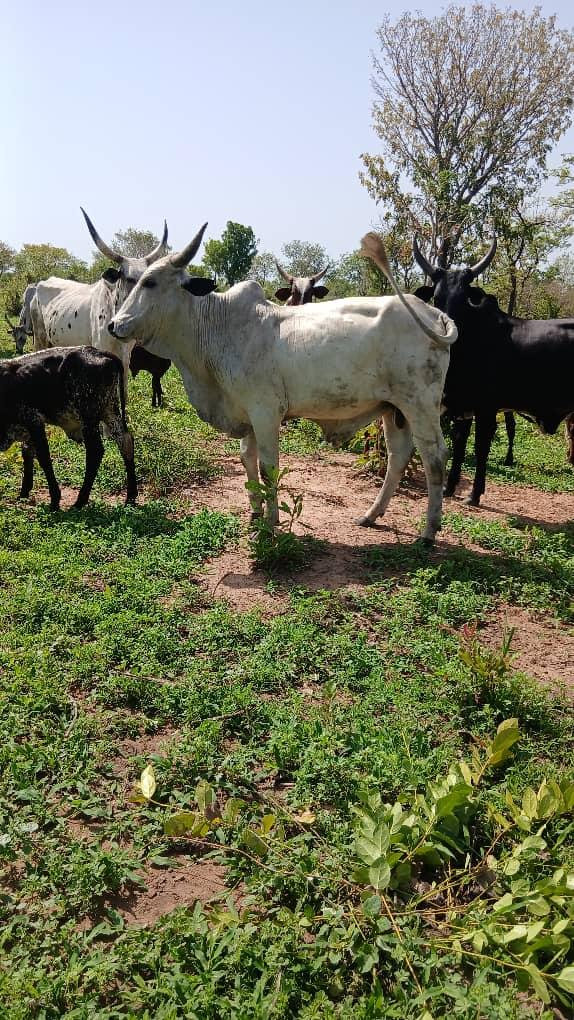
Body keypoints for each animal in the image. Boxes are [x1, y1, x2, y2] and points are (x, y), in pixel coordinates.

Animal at [0, 347, 137, 510]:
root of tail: (100, 353)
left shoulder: (33, 420)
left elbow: (44, 458)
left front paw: (54, 500)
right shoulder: (27, 427)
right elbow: (27, 453)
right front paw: (23, 493)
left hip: (88, 416)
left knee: (95, 451)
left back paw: (80, 501)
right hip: (109, 409)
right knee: (125, 441)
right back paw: (130, 497)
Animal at [108, 225, 457, 545]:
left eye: (150, 282)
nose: (113, 325)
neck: (216, 327)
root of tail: (433, 314)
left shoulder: (265, 413)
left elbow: (268, 467)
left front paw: (271, 523)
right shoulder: (246, 415)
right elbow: (247, 461)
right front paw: (254, 512)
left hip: (420, 406)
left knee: (435, 458)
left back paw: (428, 533)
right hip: (393, 409)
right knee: (398, 457)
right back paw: (371, 515)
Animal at [413, 236, 574, 505]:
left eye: (464, 298)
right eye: (437, 297)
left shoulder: (486, 408)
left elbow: (480, 447)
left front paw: (474, 494)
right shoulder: (463, 408)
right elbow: (459, 444)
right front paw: (449, 487)